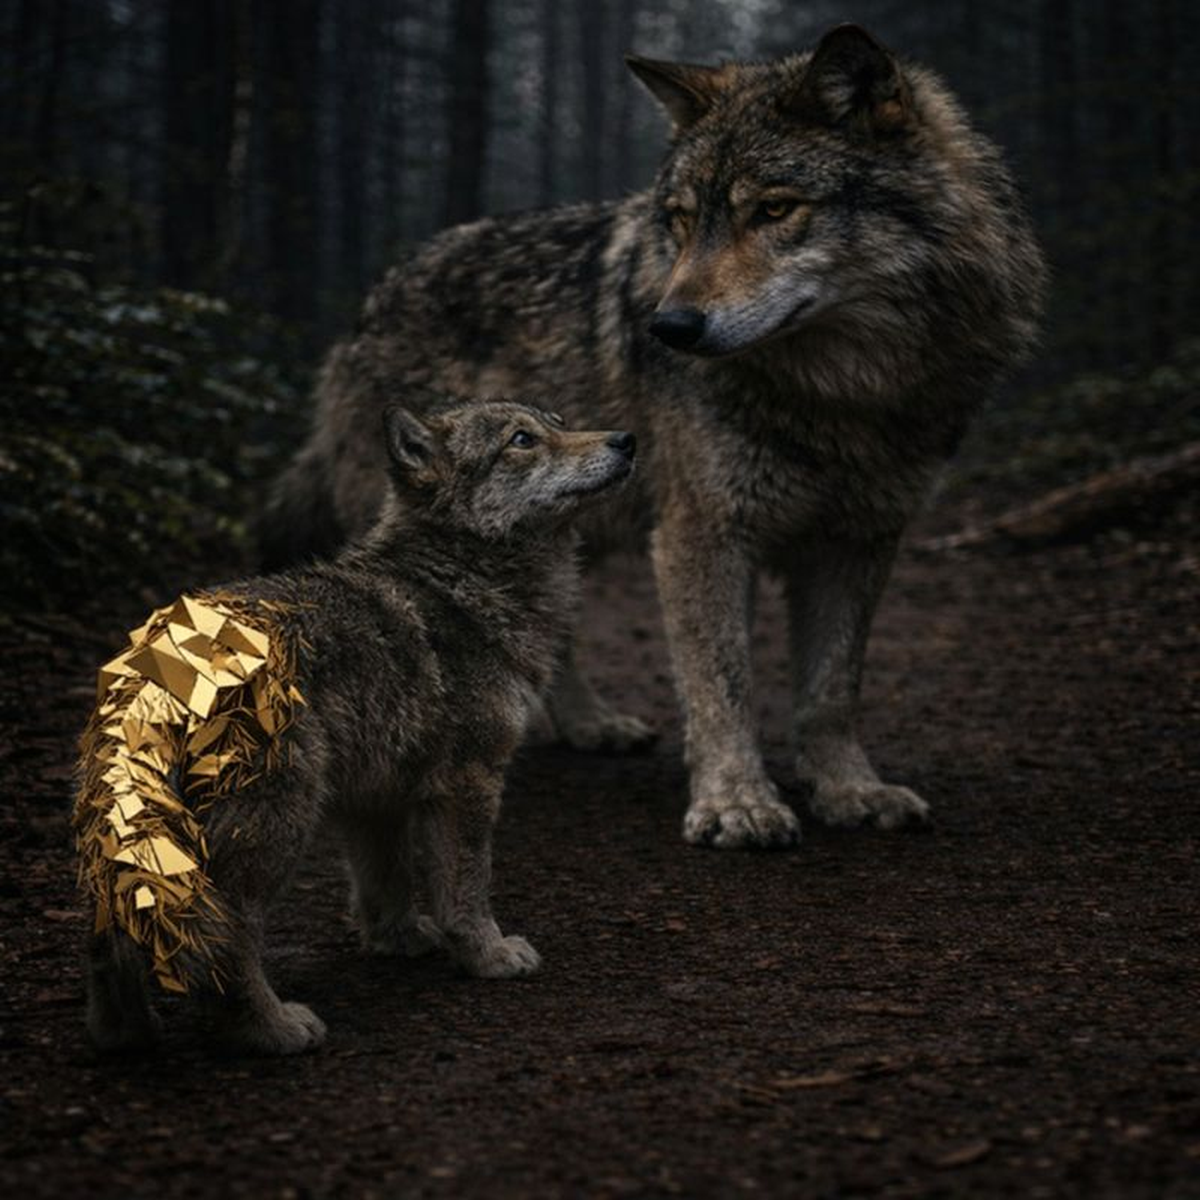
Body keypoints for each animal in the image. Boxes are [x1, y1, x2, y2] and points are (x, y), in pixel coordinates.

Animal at [82, 402, 635, 1054]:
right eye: (522, 441)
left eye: (557, 422)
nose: (626, 440)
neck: (462, 579)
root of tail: (160, 661)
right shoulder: (470, 782)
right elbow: (467, 886)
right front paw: (488, 955)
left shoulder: (376, 797)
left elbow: (385, 880)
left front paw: (398, 940)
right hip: (274, 835)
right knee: (222, 940)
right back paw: (273, 1029)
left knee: (111, 936)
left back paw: (125, 1036)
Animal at [262, 25, 1045, 850]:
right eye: (680, 219)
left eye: (774, 209)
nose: (668, 326)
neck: (840, 396)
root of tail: (378, 292)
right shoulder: (703, 530)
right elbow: (722, 682)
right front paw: (737, 803)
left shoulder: (861, 538)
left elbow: (833, 686)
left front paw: (850, 790)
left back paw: (589, 724)